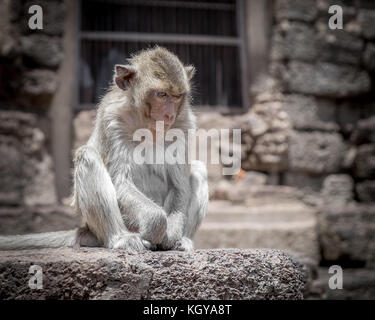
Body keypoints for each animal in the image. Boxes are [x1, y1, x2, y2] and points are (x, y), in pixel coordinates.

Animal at [0, 47, 209, 252]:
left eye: (177, 97)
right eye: (162, 95)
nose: (169, 115)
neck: (146, 125)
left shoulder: (183, 124)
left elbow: (179, 184)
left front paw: (172, 234)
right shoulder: (113, 120)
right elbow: (121, 181)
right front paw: (155, 224)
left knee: (198, 171)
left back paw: (183, 240)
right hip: (114, 223)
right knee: (88, 156)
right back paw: (120, 238)